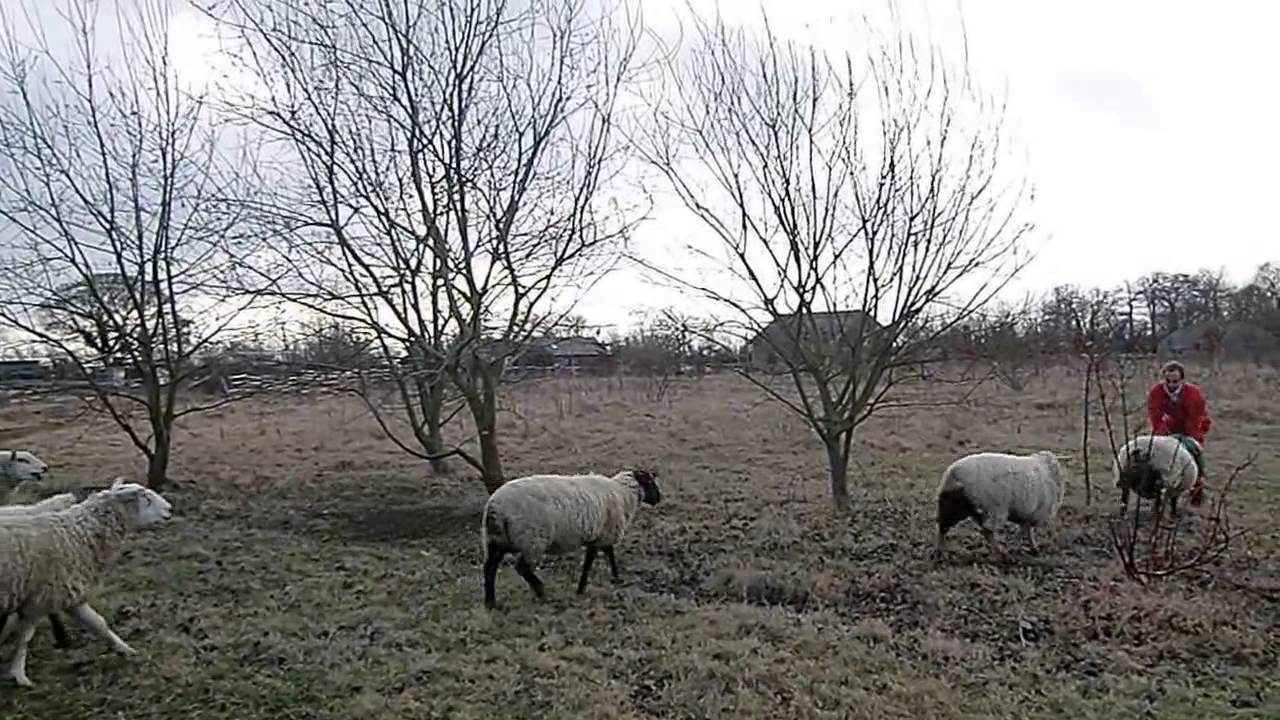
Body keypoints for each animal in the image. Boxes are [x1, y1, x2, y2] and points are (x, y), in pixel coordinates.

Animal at [0, 477, 173, 687]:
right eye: (146, 498)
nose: (170, 509)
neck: (78, 535)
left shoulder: (69, 594)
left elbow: (99, 623)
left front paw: (125, 649)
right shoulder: (39, 599)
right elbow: (24, 639)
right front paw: (19, 675)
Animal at [480, 468, 661, 609]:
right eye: (650, 482)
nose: (659, 499)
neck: (624, 494)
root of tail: (495, 506)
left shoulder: (600, 535)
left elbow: (607, 555)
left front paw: (615, 578)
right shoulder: (602, 534)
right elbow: (592, 562)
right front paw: (582, 588)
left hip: (496, 540)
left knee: (489, 568)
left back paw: (490, 603)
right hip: (532, 540)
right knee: (522, 568)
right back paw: (542, 592)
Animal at [930, 450, 1068, 562]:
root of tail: (952, 473)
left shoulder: (1029, 515)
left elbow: (1027, 530)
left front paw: (1033, 548)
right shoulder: (1036, 513)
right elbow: (1025, 530)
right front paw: (1018, 546)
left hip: (956, 506)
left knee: (943, 526)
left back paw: (938, 551)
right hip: (992, 508)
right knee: (987, 532)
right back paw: (1000, 553)